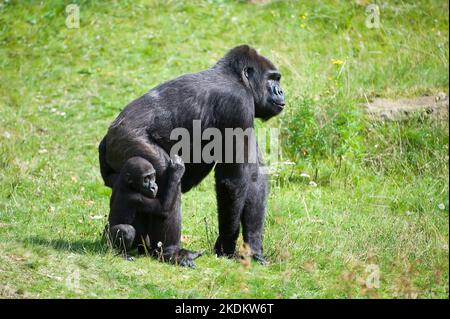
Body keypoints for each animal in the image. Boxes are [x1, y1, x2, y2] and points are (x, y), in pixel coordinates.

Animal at [99, 45, 284, 264]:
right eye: (272, 79)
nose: (281, 91)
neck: (237, 78)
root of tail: (109, 134)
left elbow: (255, 177)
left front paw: (254, 248)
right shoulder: (238, 104)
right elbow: (232, 181)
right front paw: (226, 244)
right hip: (127, 140)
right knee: (166, 180)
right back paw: (171, 252)